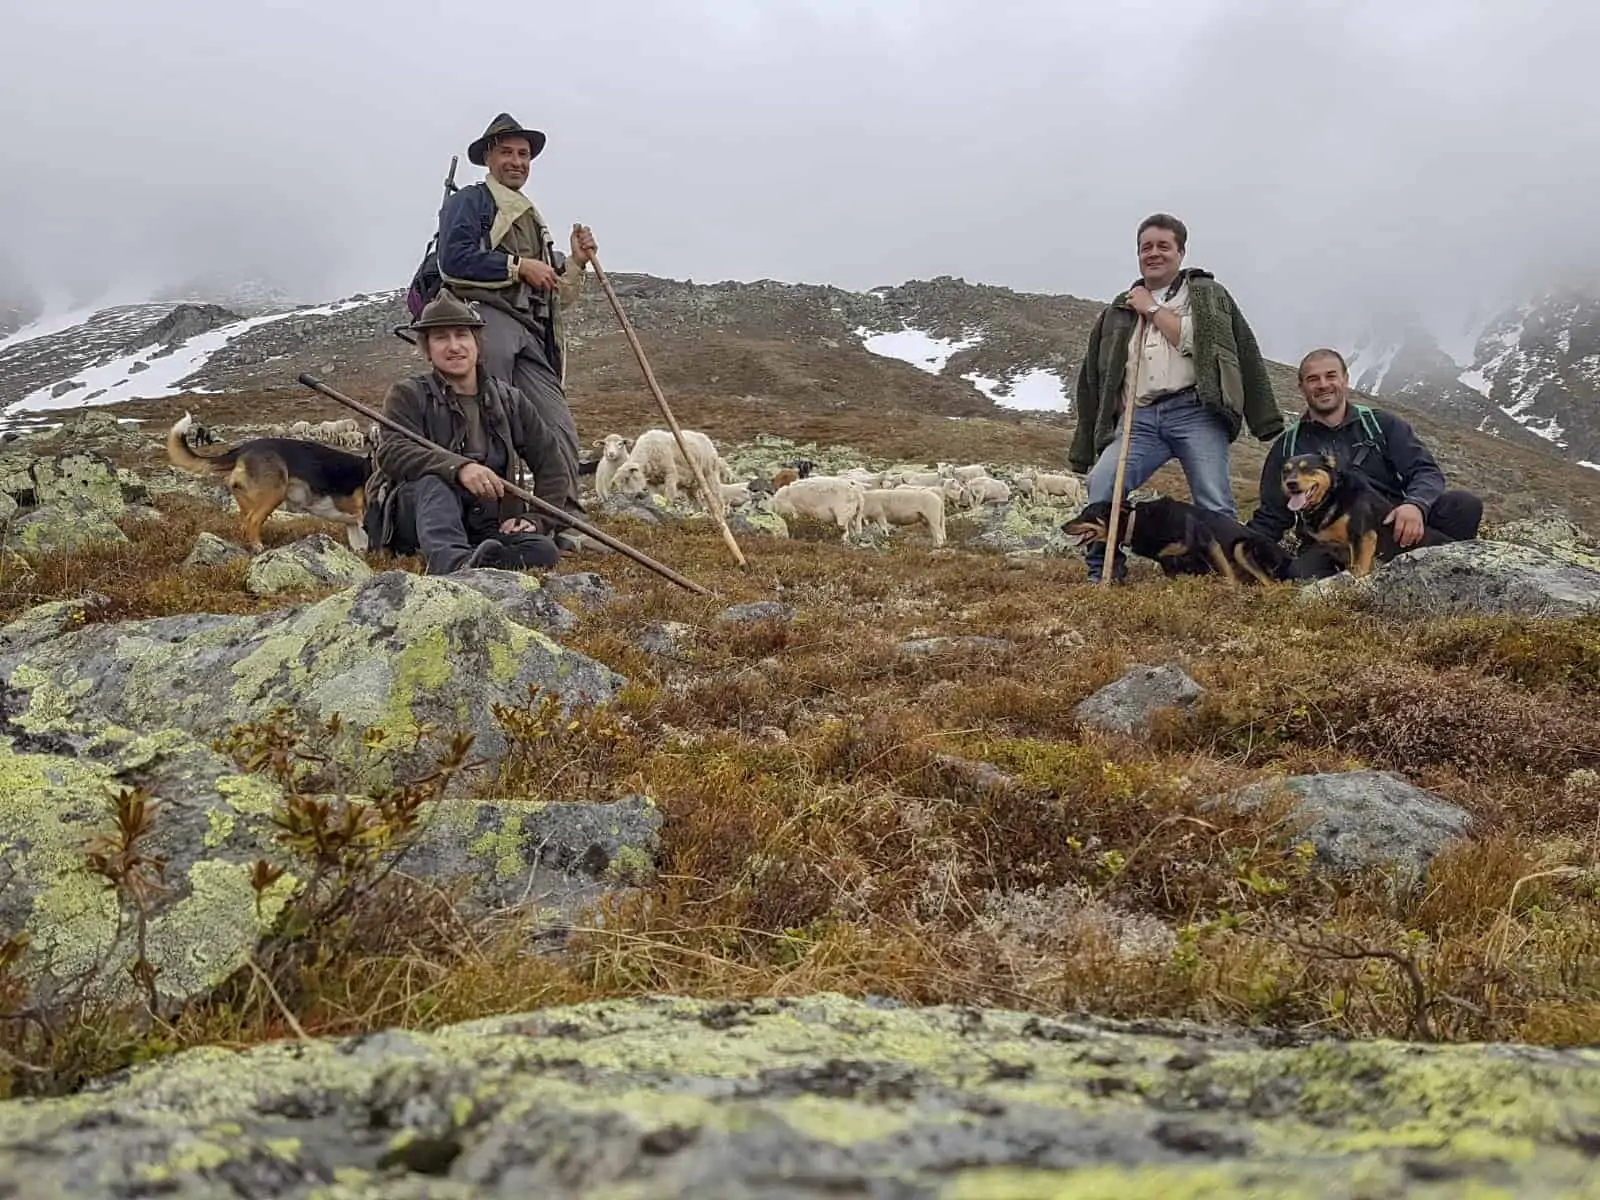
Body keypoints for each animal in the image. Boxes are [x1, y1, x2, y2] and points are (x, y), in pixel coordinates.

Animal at [164, 412, 371, 553]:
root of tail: (242, 449)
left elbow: (359, 543)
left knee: (246, 520)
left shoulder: (354, 522)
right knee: (253, 520)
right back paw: (258, 547)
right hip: (274, 492)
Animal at [1068, 499, 1292, 588]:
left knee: (1271, 585)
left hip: (1241, 548)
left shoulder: (1208, 543)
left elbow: (1227, 574)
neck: (1136, 522)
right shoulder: (1166, 562)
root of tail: (1288, 557)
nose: (1063, 526)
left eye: (1086, 515)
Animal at [1280, 454, 1459, 579]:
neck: (1331, 496)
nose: (1291, 484)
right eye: (1286, 471)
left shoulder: (1364, 537)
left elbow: (1358, 570)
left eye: (1306, 468)